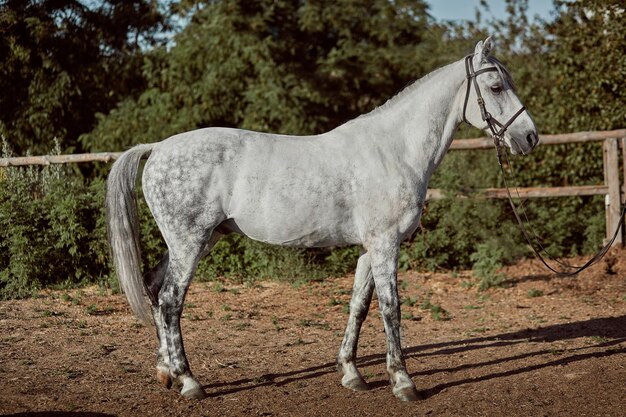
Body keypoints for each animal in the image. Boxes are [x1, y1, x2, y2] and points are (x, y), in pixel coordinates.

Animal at [107, 38, 536, 400]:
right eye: (496, 87)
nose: (530, 138)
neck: (394, 150)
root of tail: (158, 147)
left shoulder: (369, 248)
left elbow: (359, 306)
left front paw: (351, 374)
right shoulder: (385, 245)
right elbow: (391, 308)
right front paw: (403, 382)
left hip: (198, 240)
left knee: (154, 289)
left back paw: (166, 373)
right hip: (189, 242)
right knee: (170, 301)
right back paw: (190, 381)